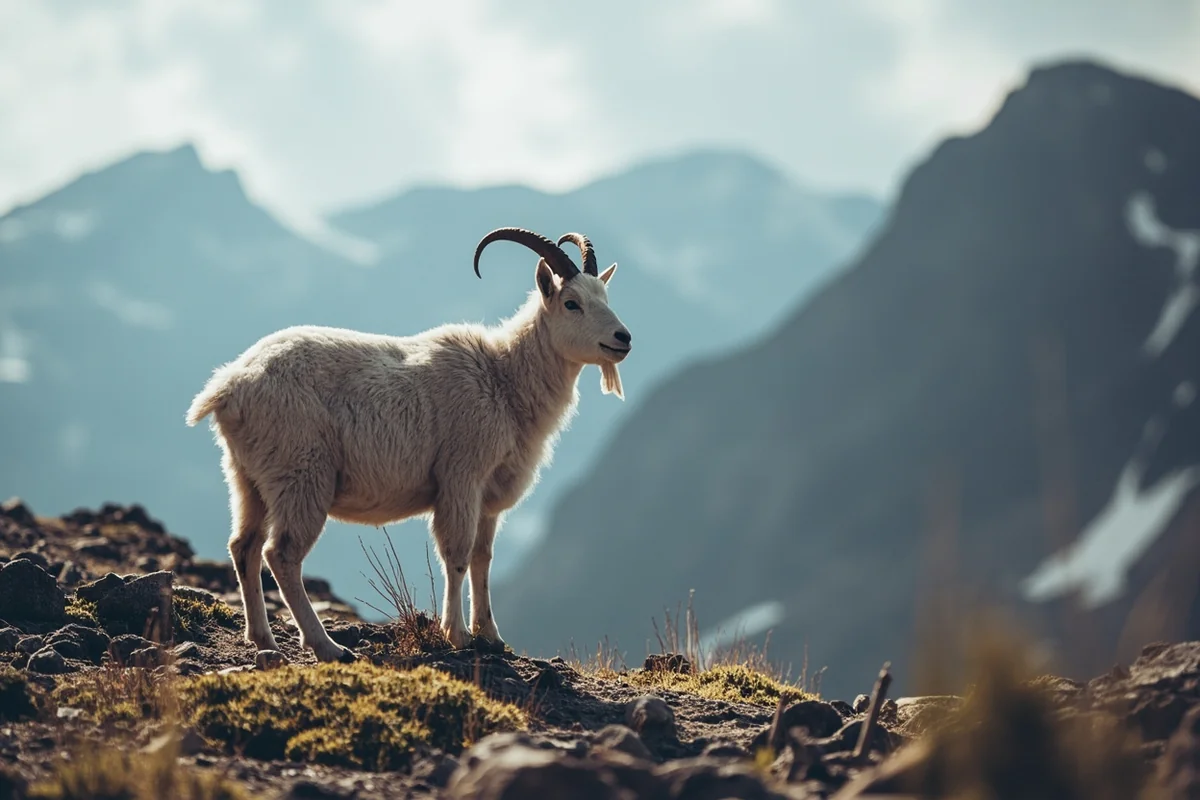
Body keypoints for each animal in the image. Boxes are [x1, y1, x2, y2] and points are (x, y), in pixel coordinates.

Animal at [185, 228, 632, 661]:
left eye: (605, 297)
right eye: (572, 303)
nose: (623, 338)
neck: (503, 378)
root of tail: (229, 386)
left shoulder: (489, 494)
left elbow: (482, 559)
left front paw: (491, 635)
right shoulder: (460, 478)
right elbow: (457, 554)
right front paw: (457, 634)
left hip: (248, 478)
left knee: (244, 546)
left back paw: (263, 639)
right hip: (301, 474)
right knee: (281, 554)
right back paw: (327, 646)